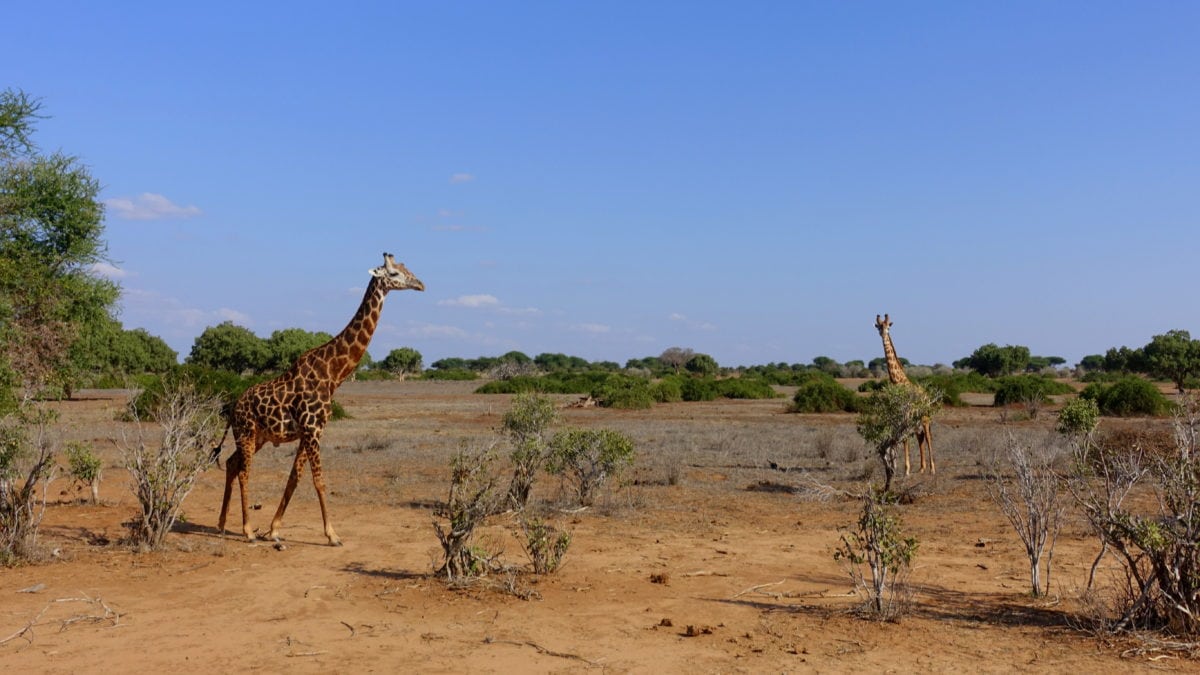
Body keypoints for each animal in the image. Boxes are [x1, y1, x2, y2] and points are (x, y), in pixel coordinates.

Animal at [216, 249, 427, 542]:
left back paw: (222, 523)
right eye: (394, 273)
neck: (333, 374)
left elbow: (294, 478)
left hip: (258, 436)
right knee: (244, 471)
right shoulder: (312, 429)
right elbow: (319, 481)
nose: (421, 285)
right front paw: (332, 534)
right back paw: (247, 530)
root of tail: (234, 407)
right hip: (246, 432)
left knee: (231, 463)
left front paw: (274, 529)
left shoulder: (311, 431)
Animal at [873, 312, 936, 473]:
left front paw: (906, 470)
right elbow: (902, 438)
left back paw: (932, 469)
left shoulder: (906, 414)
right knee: (920, 437)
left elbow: (905, 439)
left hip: (925, 417)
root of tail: (927, 396)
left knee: (928, 437)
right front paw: (904, 469)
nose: (883, 335)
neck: (898, 382)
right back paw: (921, 468)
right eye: (879, 328)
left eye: (888, 327)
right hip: (917, 419)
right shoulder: (899, 415)